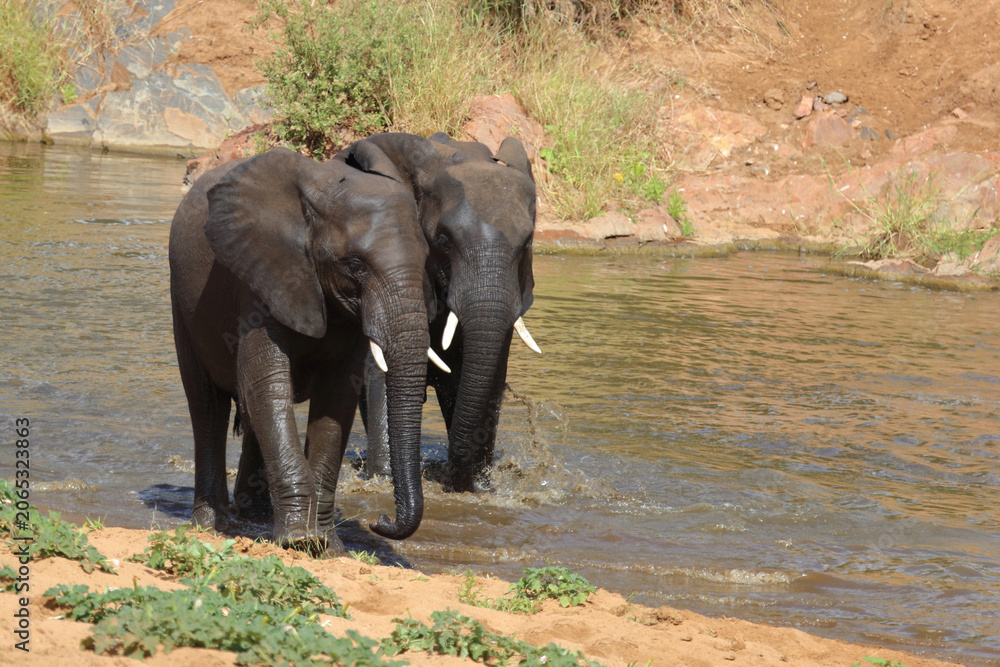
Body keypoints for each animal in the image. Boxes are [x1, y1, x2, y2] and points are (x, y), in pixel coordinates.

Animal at [168, 142, 449, 549]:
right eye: (355, 265)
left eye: (426, 260)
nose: (380, 520)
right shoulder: (260, 281)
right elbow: (267, 386)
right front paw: (298, 541)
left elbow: (336, 399)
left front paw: (327, 545)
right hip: (182, 305)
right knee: (207, 407)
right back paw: (211, 525)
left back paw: (256, 517)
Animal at [356, 132, 541, 493]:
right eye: (443, 242)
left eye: (527, 244)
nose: (451, 475)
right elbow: (382, 366)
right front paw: (383, 479)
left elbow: (490, 374)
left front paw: (478, 486)